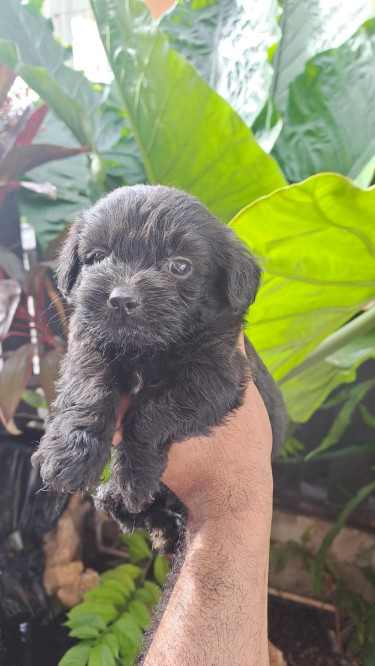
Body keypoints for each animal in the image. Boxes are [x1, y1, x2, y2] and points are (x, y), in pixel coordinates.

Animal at [31, 184, 288, 548]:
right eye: (97, 257)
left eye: (180, 266)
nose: (121, 300)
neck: (146, 348)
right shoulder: (87, 344)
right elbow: (90, 387)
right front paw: (70, 455)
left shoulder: (213, 376)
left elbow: (151, 413)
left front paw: (134, 475)